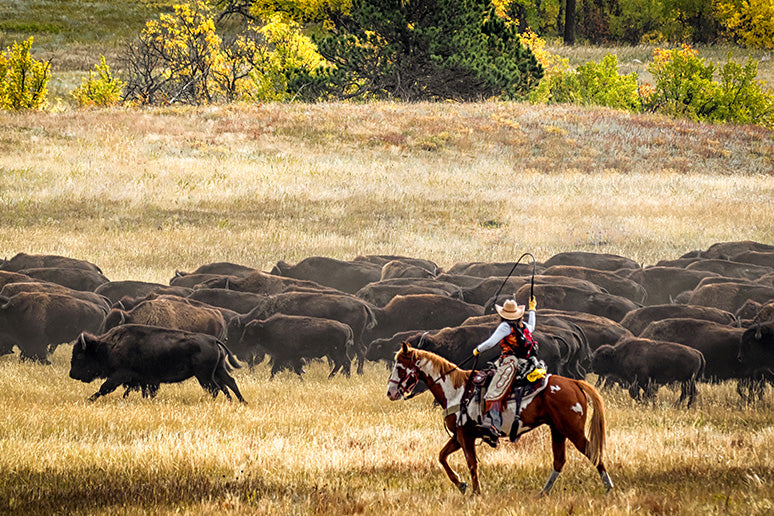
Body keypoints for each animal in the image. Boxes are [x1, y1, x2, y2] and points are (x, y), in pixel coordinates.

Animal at [70, 326, 246, 404]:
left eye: (80, 355)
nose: (71, 374)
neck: (109, 346)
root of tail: (212, 340)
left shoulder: (119, 375)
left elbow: (104, 388)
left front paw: (89, 399)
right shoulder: (146, 381)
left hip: (204, 375)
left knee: (215, 388)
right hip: (218, 371)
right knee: (230, 383)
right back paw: (241, 402)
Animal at [226, 310, 356, 378]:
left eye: (250, 331)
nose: (242, 341)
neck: (267, 328)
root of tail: (345, 326)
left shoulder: (283, 356)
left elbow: (276, 369)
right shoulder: (290, 357)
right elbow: (293, 369)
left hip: (336, 351)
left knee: (344, 363)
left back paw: (337, 377)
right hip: (336, 352)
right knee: (343, 363)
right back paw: (337, 377)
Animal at [384, 342, 616, 496]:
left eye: (399, 367)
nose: (390, 392)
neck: (457, 390)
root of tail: (575, 383)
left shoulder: (465, 435)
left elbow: (471, 463)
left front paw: (476, 492)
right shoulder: (460, 436)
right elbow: (442, 457)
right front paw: (461, 485)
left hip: (572, 431)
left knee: (593, 453)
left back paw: (608, 488)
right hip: (558, 430)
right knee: (559, 461)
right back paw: (542, 493)